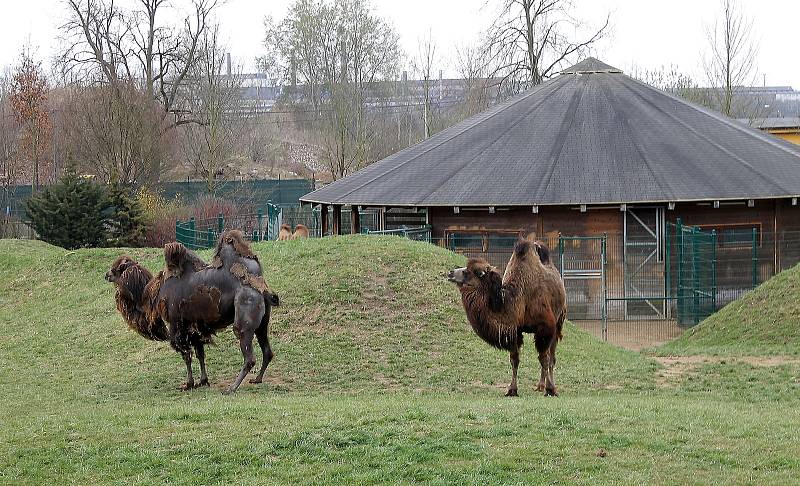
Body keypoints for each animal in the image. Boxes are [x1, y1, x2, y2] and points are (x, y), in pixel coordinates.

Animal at [105, 230, 282, 392]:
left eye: (116, 269)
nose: (106, 275)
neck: (152, 296)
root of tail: (259, 285)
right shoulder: (194, 324)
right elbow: (200, 353)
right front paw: (203, 381)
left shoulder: (177, 324)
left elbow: (186, 354)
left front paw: (188, 384)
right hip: (263, 320)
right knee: (267, 349)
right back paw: (257, 379)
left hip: (245, 311)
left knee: (248, 352)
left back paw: (231, 388)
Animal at [446, 238, 564, 394]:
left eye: (468, 272)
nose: (450, 272)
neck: (519, 300)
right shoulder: (515, 330)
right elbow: (514, 359)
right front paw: (512, 390)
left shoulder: (545, 326)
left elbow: (544, 358)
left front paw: (551, 390)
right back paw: (540, 386)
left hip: (558, 322)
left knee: (551, 357)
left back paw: (548, 386)